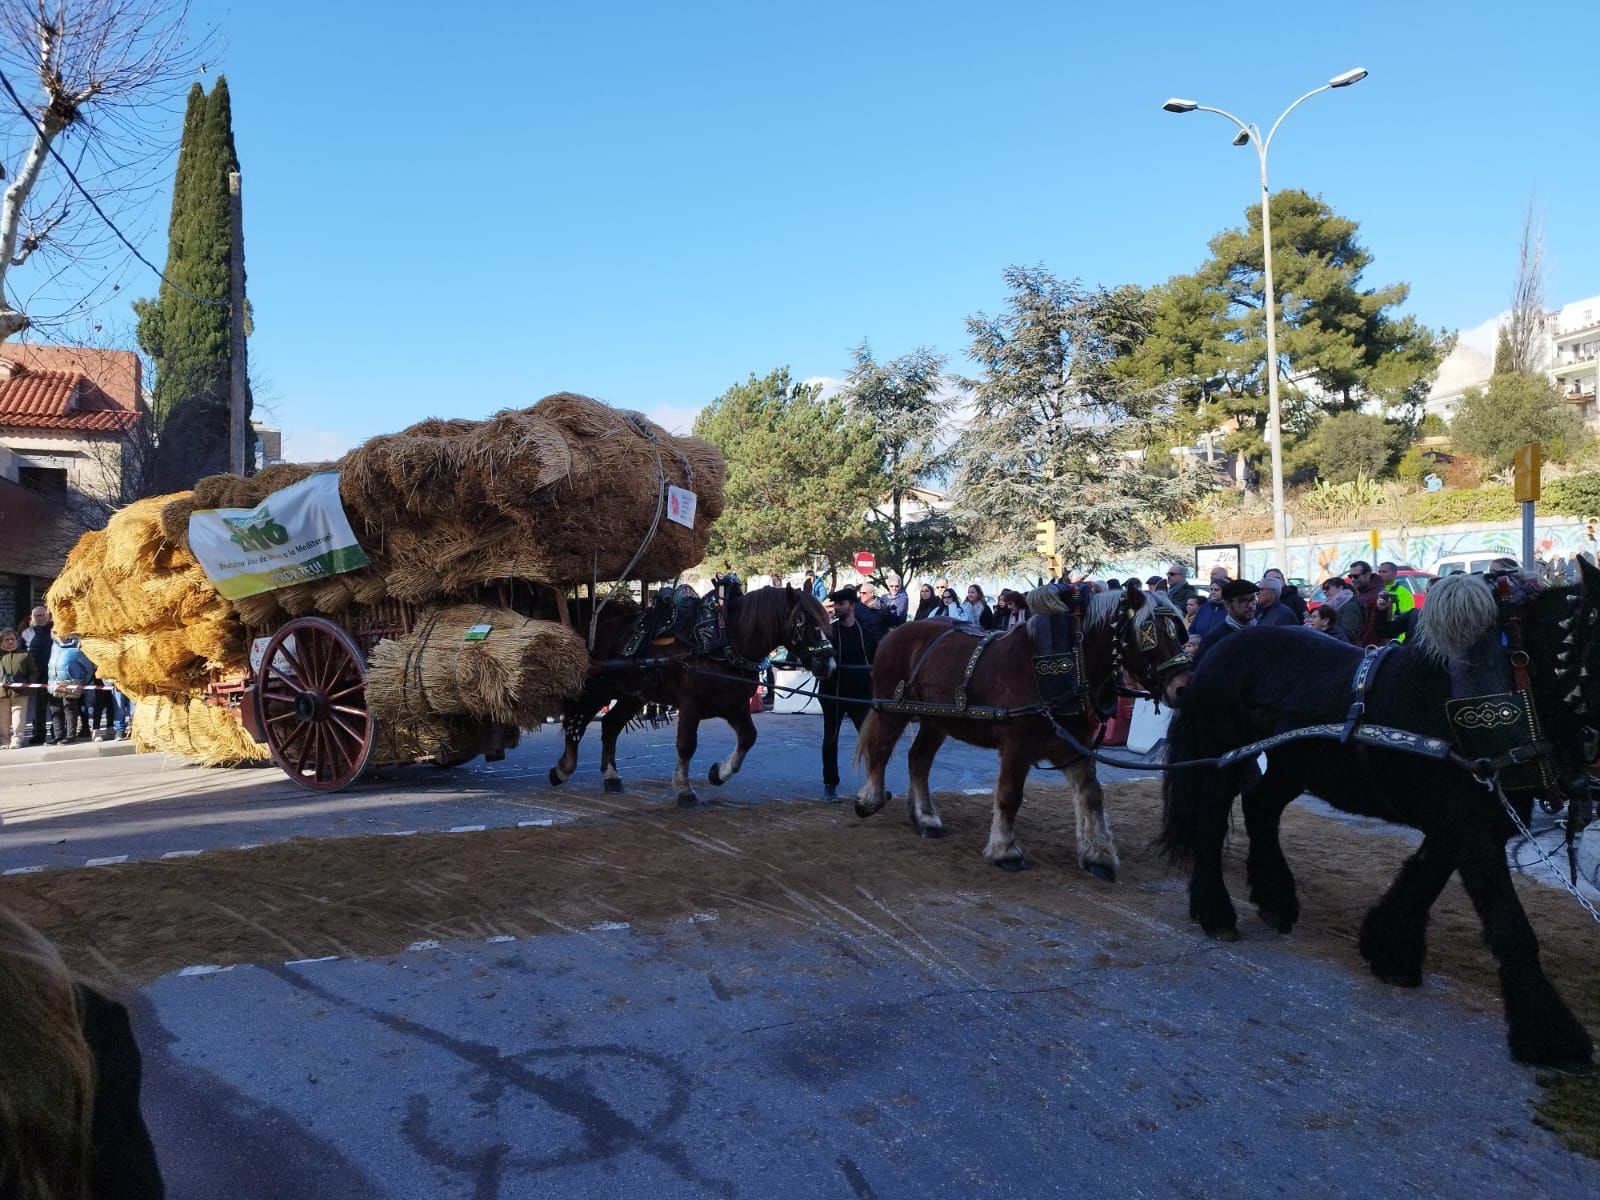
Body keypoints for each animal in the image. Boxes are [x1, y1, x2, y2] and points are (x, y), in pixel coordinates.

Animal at [550, 585, 838, 809]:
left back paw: (611, 776)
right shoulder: (691, 705)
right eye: (802, 621)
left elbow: (748, 738)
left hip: (633, 695)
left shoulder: (735, 706)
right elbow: (686, 745)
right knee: (576, 722)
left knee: (610, 725)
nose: (830, 664)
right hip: (599, 688)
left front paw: (718, 773)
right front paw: (684, 789)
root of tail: (596, 626)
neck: (723, 639)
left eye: (826, 619)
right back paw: (563, 769)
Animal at [857, 592, 1196, 883]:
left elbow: (1092, 796)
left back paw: (925, 818)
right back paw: (870, 800)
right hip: (892, 711)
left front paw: (1098, 855)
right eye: (1149, 634)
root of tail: (894, 633)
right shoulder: (1016, 747)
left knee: (918, 760)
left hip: (936, 721)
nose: (1182, 687)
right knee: (881, 751)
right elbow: (1010, 796)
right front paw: (1005, 851)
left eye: (1177, 632)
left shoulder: (1075, 749)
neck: (1066, 667)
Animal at [1158, 572, 1593, 1068]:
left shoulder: (1467, 822)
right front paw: (1550, 1033)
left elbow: (1423, 876)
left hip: (1294, 766)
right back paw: (1215, 911)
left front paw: (1388, 949)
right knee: (1212, 822)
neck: (1509, 684)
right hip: (1224, 759)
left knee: (1261, 807)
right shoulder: (1472, 826)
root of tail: (1216, 651)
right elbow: (1509, 924)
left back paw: (1275, 898)